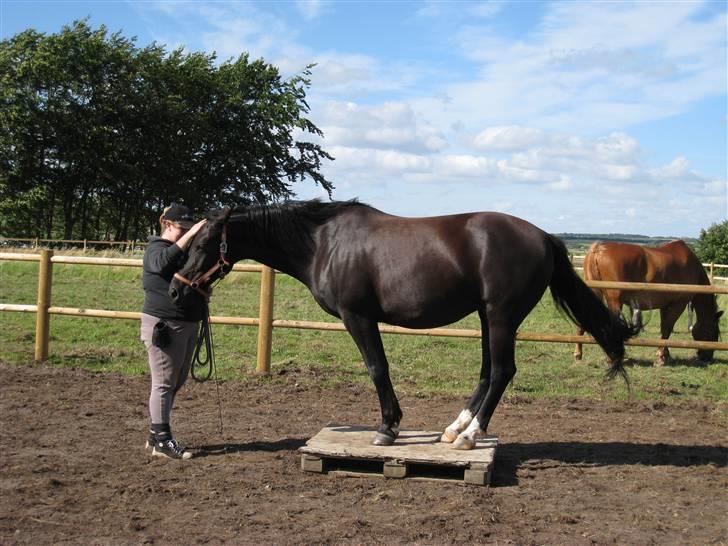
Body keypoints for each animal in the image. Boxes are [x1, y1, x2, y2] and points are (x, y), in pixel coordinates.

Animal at [171, 200, 636, 446]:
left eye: (205, 243)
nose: (177, 290)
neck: (323, 244)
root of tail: (543, 237)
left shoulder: (358, 317)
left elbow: (378, 368)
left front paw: (388, 428)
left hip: (502, 316)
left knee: (503, 371)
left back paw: (470, 435)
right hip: (488, 318)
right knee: (488, 372)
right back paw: (454, 428)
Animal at [576, 239, 724, 364]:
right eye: (713, 331)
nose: (707, 357)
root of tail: (598, 249)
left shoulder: (665, 305)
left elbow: (664, 329)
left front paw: (666, 354)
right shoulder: (678, 304)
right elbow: (667, 328)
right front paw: (661, 357)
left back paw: (578, 354)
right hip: (615, 301)